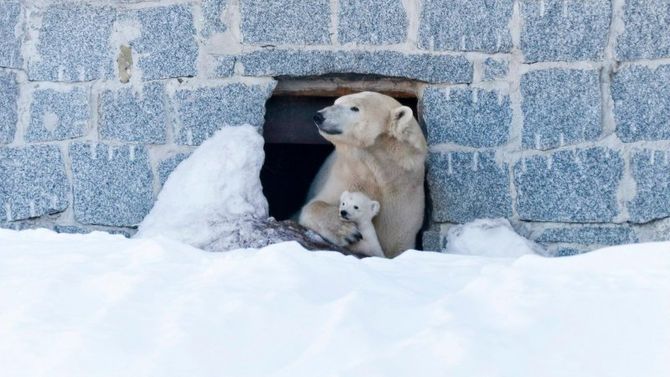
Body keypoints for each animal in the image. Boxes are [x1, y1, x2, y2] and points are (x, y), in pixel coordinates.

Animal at [300, 90, 428, 258]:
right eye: (336, 102)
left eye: (355, 108)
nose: (319, 116)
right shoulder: (347, 175)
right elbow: (313, 206)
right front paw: (347, 231)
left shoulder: (403, 196)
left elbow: (396, 242)